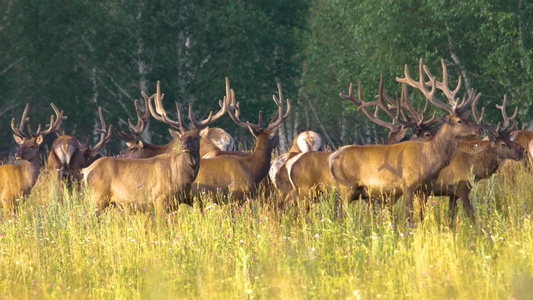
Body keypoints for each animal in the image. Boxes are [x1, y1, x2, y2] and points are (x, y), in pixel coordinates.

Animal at [82, 78, 228, 212]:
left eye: (196, 138)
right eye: (181, 138)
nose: (185, 147)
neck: (180, 176)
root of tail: (86, 170)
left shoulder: (174, 204)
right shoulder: (159, 199)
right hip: (98, 198)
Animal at [328, 58, 482, 218]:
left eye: (466, 117)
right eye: (459, 121)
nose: (480, 129)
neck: (428, 159)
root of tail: (332, 157)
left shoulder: (425, 188)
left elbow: (420, 215)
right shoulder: (407, 184)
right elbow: (409, 215)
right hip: (347, 186)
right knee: (341, 212)